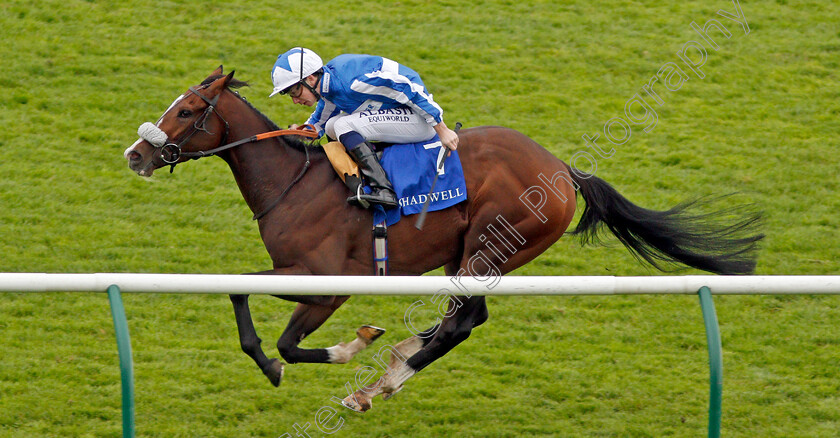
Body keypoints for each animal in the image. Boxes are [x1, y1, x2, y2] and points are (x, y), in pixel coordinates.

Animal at [123, 66, 760, 412]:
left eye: (188, 110)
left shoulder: (329, 285)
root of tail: (563, 170)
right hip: (471, 255)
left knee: (461, 322)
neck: (292, 184)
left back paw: (380, 380)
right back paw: (396, 365)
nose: (135, 155)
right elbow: (239, 293)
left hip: (489, 245)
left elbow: (280, 337)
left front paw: (339, 351)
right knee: (464, 319)